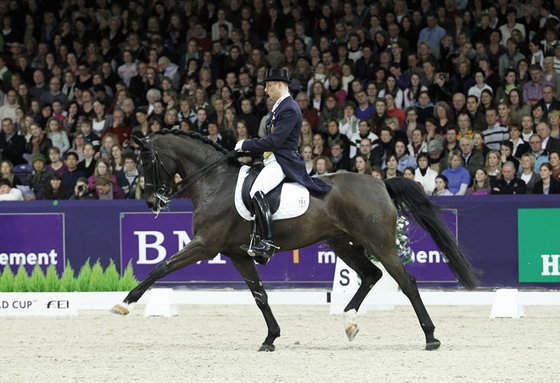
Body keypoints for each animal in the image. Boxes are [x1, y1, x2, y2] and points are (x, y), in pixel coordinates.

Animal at [111, 130, 480, 352]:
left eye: (146, 161)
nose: (152, 203)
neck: (214, 183)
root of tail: (380, 183)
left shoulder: (205, 244)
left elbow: (160, 268)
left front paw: (124, 303)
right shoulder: (237, 254)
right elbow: (260, 296)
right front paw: (270, 338)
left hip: (379, 243)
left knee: (406, 281)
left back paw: (430, 336)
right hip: (342, 242)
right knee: (370, 275)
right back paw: (349, 322)